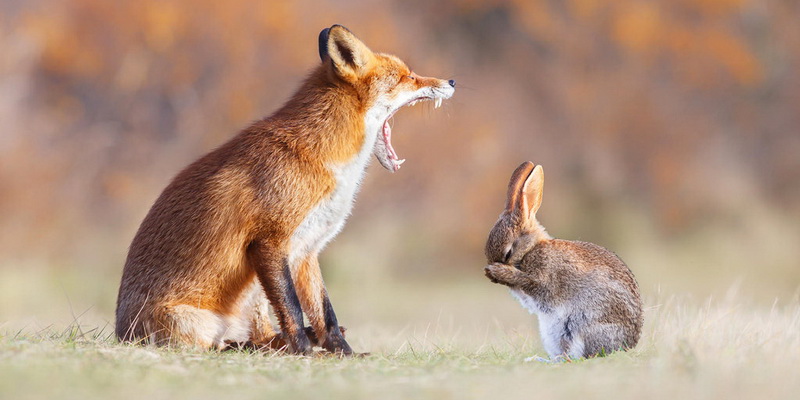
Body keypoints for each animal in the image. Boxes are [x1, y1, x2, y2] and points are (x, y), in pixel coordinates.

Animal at [114, 23, 456, 354]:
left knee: (261, 335)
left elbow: (325, 314)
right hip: (196, 320)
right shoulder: (269, 241)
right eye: (408, 76)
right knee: (219, 345)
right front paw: (304, 352)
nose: (452, 81)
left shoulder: (306, 249)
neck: (325, 158)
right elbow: (292, 309)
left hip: (253, 294)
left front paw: (343, 353)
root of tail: (121, 334)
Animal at [482, 161, 644, 360]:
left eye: (508, 253)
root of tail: (626, 345)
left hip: (578, 325)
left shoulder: (545, 278)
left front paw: (499, 272)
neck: (531, 248)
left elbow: (532, 283)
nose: (491, 273)